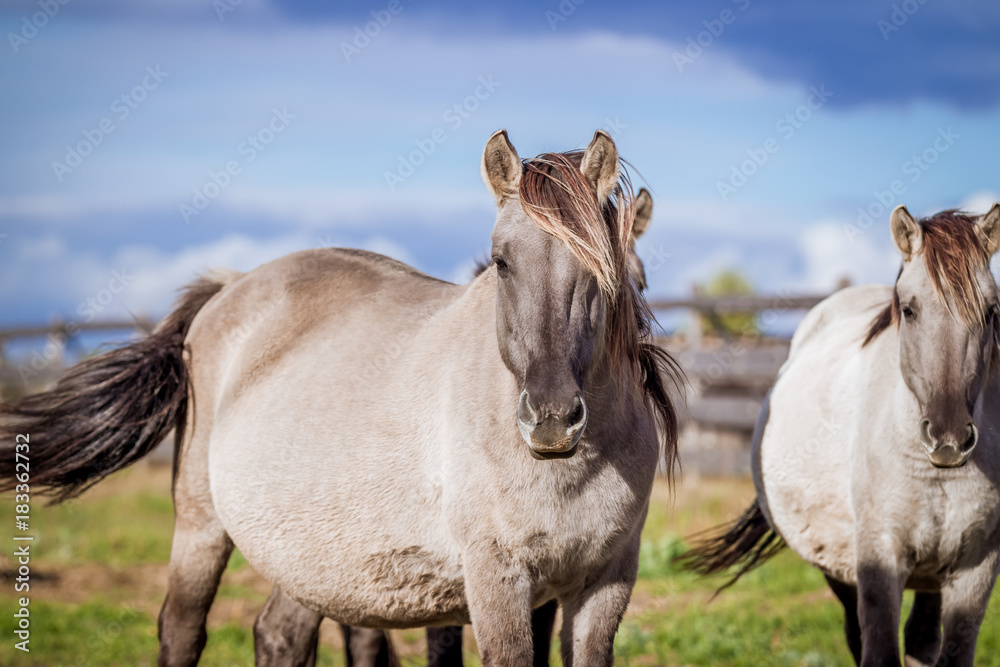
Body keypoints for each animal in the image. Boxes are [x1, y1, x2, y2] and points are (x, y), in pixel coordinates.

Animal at [682, 205, 1000, 666]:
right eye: (909, 310)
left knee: (921, 638)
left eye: (991, 311)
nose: (949, 438)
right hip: (839, 568)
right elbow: (878, 651)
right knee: (857, 634)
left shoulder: (976, 570)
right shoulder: (879, 563)